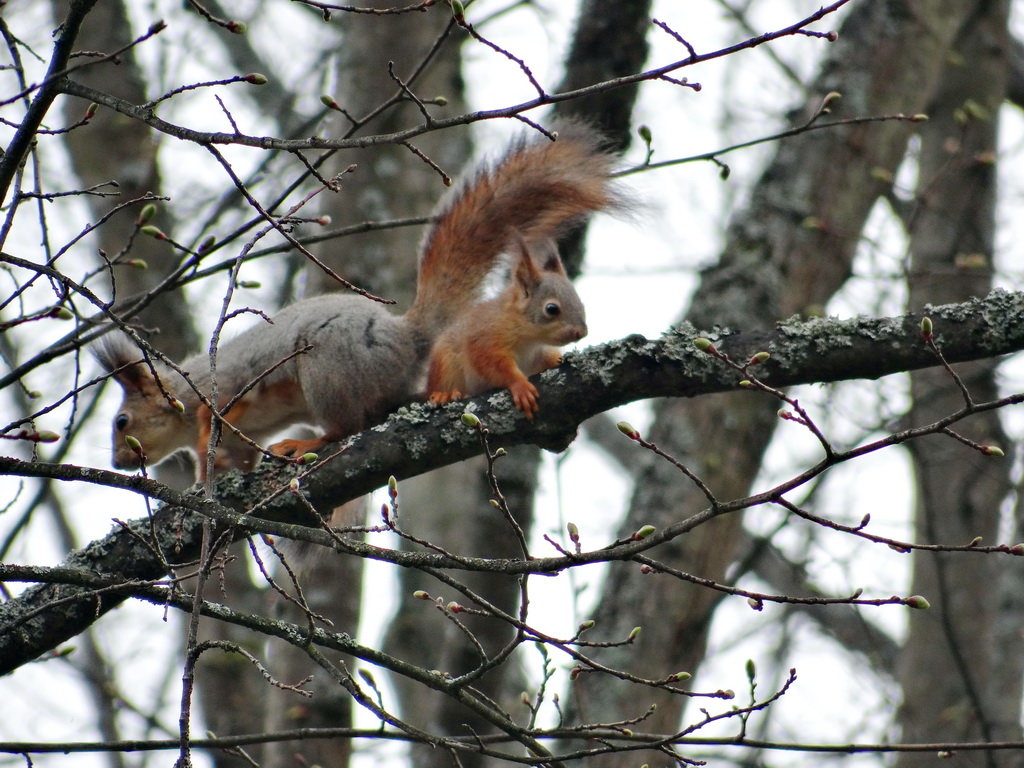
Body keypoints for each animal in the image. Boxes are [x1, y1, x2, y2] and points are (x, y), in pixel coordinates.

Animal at [96, 123, 618, 479]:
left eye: (122, 421)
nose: (119, 462)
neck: (183, 397)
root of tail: (406, 339)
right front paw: (215, 473)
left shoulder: (227, 386)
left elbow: (218, 416)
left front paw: (207, 455)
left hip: (325, 371)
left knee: (343, 429)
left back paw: (301, 443)